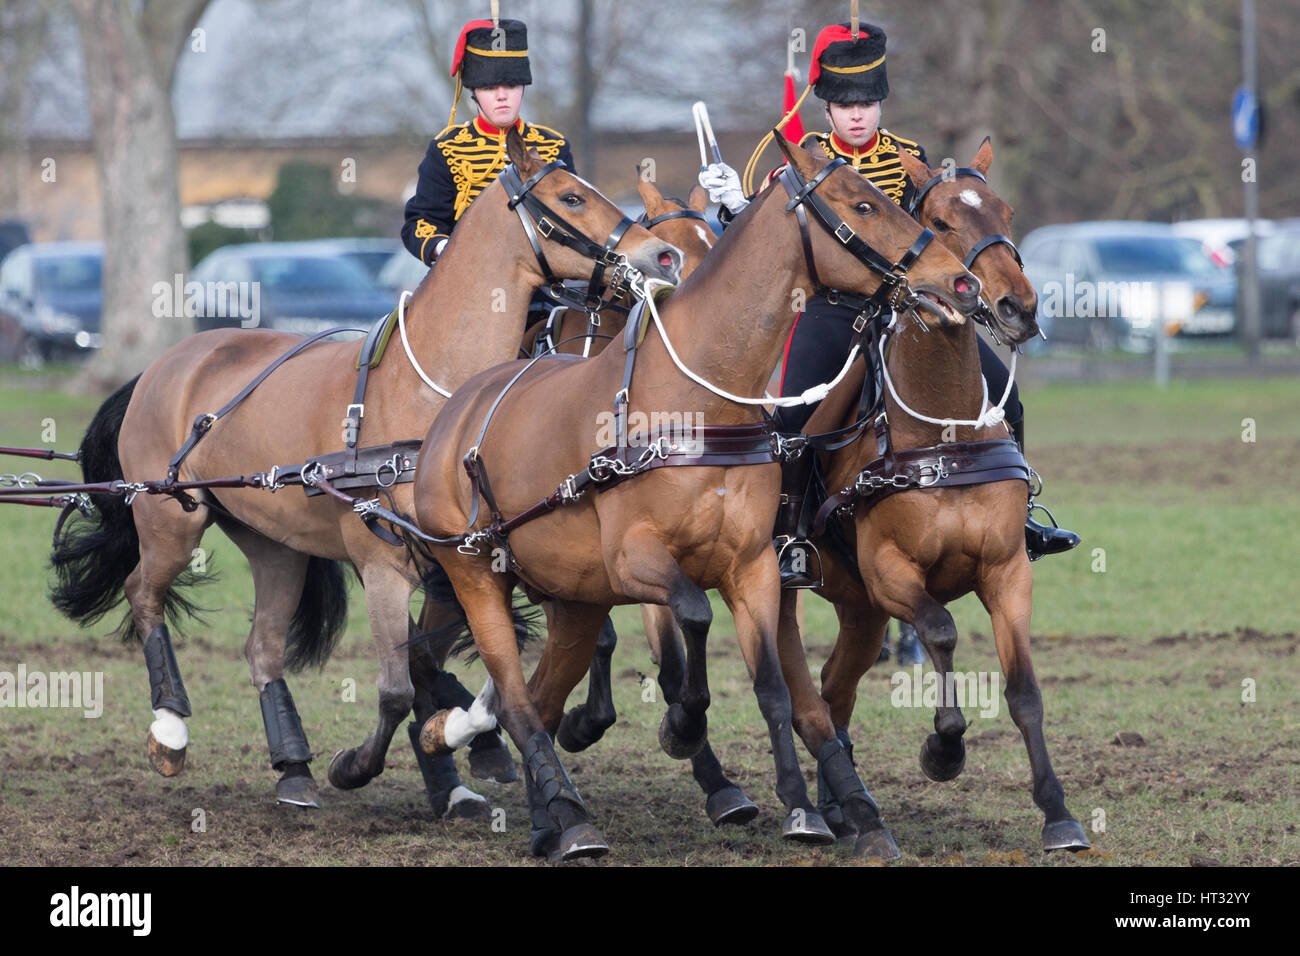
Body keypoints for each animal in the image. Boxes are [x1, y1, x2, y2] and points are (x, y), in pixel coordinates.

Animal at [49, 130, 681, 811]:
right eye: (570, 197)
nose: (663, 257)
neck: (439, 399)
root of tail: (169, 362)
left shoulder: (460, 565)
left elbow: (437, 667)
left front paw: (458, 759)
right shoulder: (382, 565)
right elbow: (399, 688)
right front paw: (362, 765)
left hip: (275, 543)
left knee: (263, 645)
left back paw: (293, 766)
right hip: (171, 518)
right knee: (143, 593)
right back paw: (170, 729)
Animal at [410, 132, 977, 858]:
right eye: (862, 205)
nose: (959, 280)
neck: (702, 404)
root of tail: (454, 413)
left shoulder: (754, 566)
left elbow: (773, 686)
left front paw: (802, 806)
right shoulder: (636, 561)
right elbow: (694, 618)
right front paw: (684, 724)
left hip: (574, 599)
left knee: (537, 696)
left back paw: (547, 816)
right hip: (477, 573)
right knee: (512, 697)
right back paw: (565, 816)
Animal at [774, 141, 1092, 853]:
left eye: (1005, 211)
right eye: (941, 222)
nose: (1016, 306)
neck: (942, 433)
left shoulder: (1007, 571)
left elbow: (1025, 690)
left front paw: (1057, 812)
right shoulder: (892, 573)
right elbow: (941, 630)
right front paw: (944, 750)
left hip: (860, 610)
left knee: (834, 690)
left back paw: (841, 803)